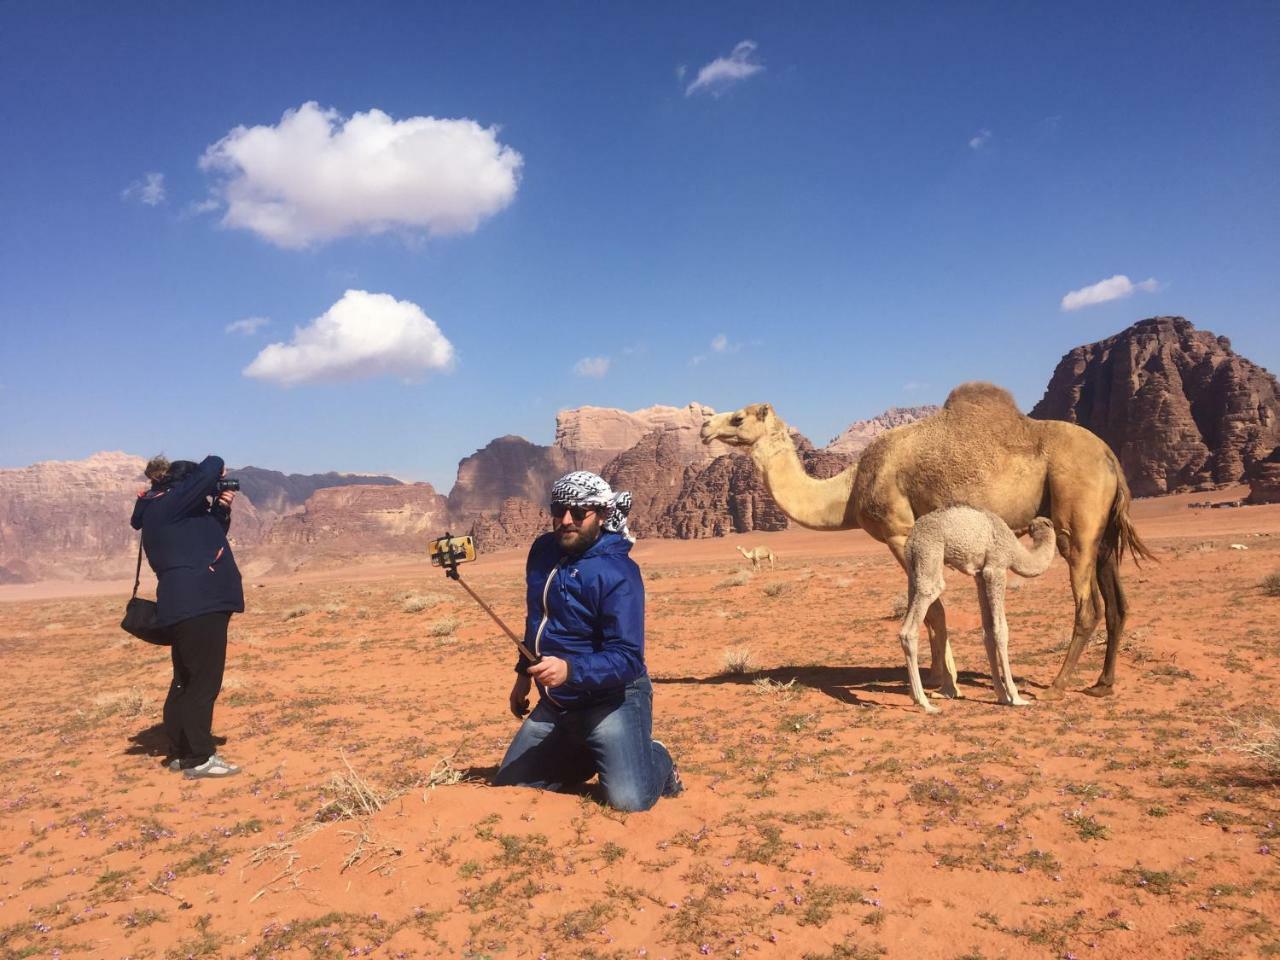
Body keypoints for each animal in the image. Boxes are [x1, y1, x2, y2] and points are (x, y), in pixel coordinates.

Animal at [896, 512, 1054, 716]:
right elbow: (1001, 631)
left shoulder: (980, 576)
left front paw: (1002, 696)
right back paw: (924, 702)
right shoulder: (996, 569)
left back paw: (918, 696)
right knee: (911, 627)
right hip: (929, 555)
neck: (1015, 550)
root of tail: (912, 539)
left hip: (914, 567)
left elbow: (988, 632)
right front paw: (1016, 697)